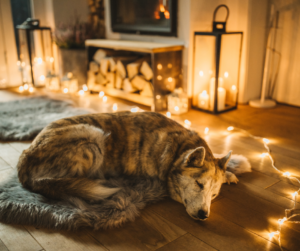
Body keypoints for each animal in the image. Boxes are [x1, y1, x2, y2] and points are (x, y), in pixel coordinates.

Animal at [17, 111, 250, 220]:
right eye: (199, 184)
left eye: (214, 195)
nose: (204, 215)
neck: (178, 150)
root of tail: (25, 157)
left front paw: (233, 168)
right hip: (94, 138)